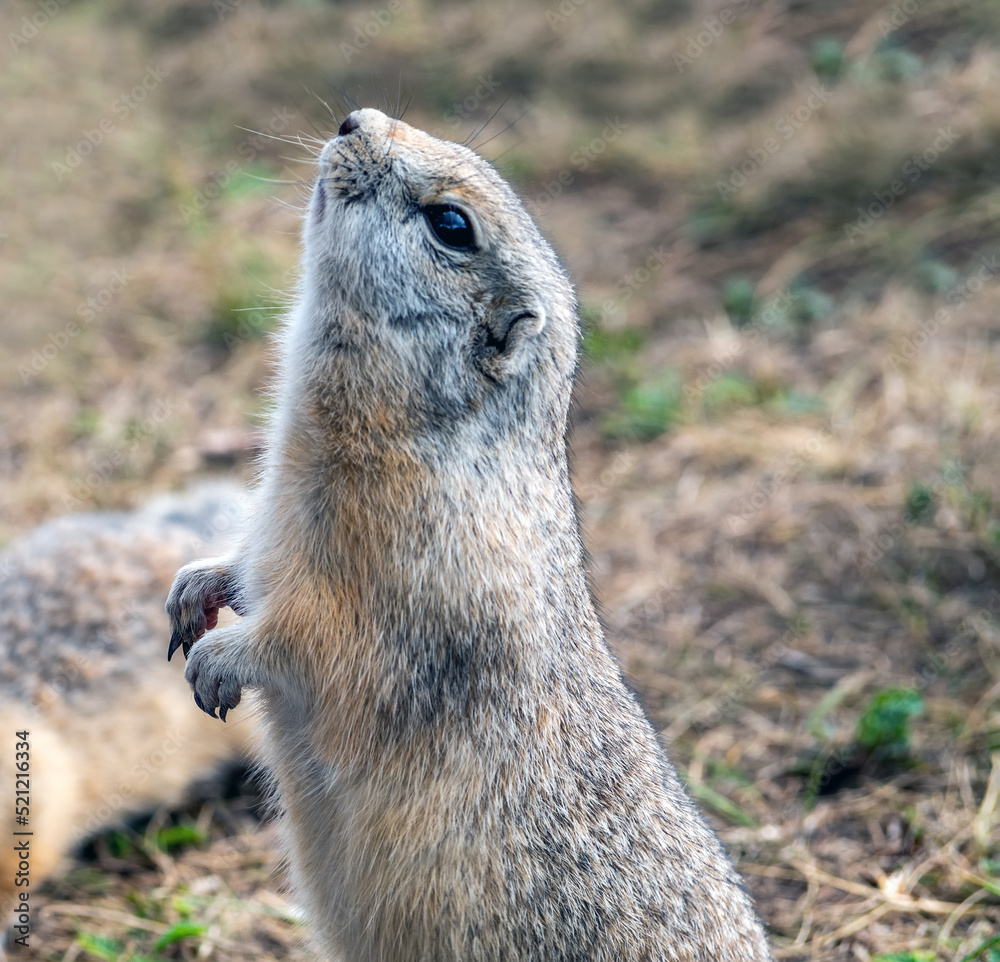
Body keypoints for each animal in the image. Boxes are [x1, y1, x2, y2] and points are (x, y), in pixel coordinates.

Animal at [168, 107, 772, 960]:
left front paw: (220, 660)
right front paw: (193, 589)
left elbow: (315, 638)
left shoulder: (396, 586)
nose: (353, 119)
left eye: (451, 224)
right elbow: (241, 565)